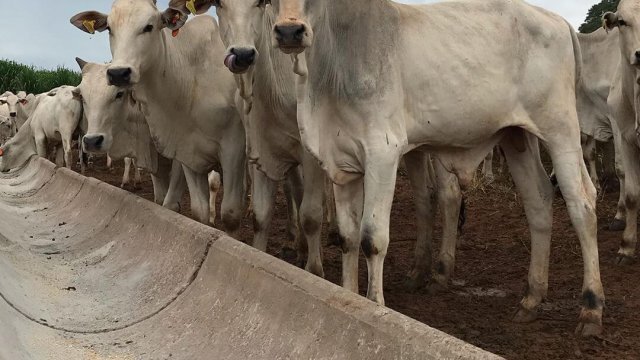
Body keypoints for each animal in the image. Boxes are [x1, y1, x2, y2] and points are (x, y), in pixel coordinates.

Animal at [71, 0, 246, 231]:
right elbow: (160, 199)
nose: (91, 141)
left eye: (149, 26)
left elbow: (173, 203)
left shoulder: (220, 148)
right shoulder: (160, 152)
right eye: (109, 28)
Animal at [168, 0, 462, 286]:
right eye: (220, 4)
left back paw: (441, 269)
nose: (242, 54)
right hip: (412, 150)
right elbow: (264, 213)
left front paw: (314, 268)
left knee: (447, 194)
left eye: (260, 3)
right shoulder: (260, 148)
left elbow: (310, 213)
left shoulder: (309, 151)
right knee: (424, 197)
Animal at [272, 0, 604, 334]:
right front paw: (349, 295)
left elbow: (372, 239)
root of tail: (559, 22)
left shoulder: (383, 154)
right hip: (517, 136)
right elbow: (348, 238)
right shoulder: (342, 166)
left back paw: (591, 307)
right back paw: (531, 299)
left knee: (582, 203)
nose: (289, 32)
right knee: (539, 201)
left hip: (560, 131)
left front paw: (375, 306)